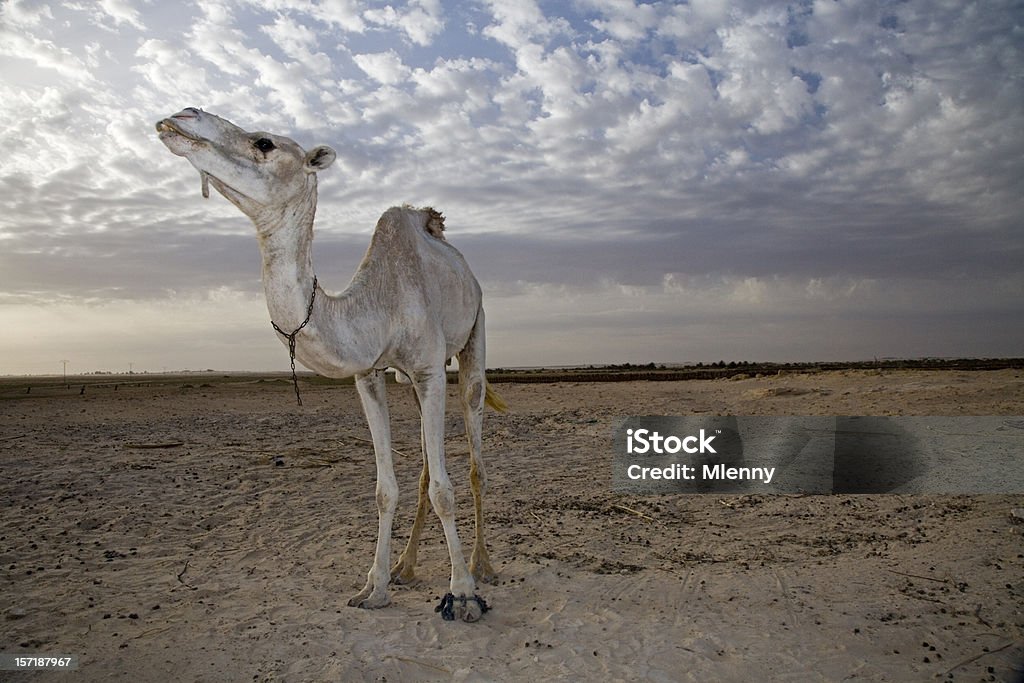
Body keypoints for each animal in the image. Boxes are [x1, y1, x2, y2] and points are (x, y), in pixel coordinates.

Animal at [154, 108, 499, 626]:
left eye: (264, 143)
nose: (180, 117)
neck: (377, 306)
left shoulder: (428, 369)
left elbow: (445, 488)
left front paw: (461, 594)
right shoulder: (369, 376)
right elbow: (385, 489)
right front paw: (374, 586)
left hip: (474, 336)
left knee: (474, 457)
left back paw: (482, 565)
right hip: (411, 380)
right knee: (422, 468)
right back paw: (407, 566)